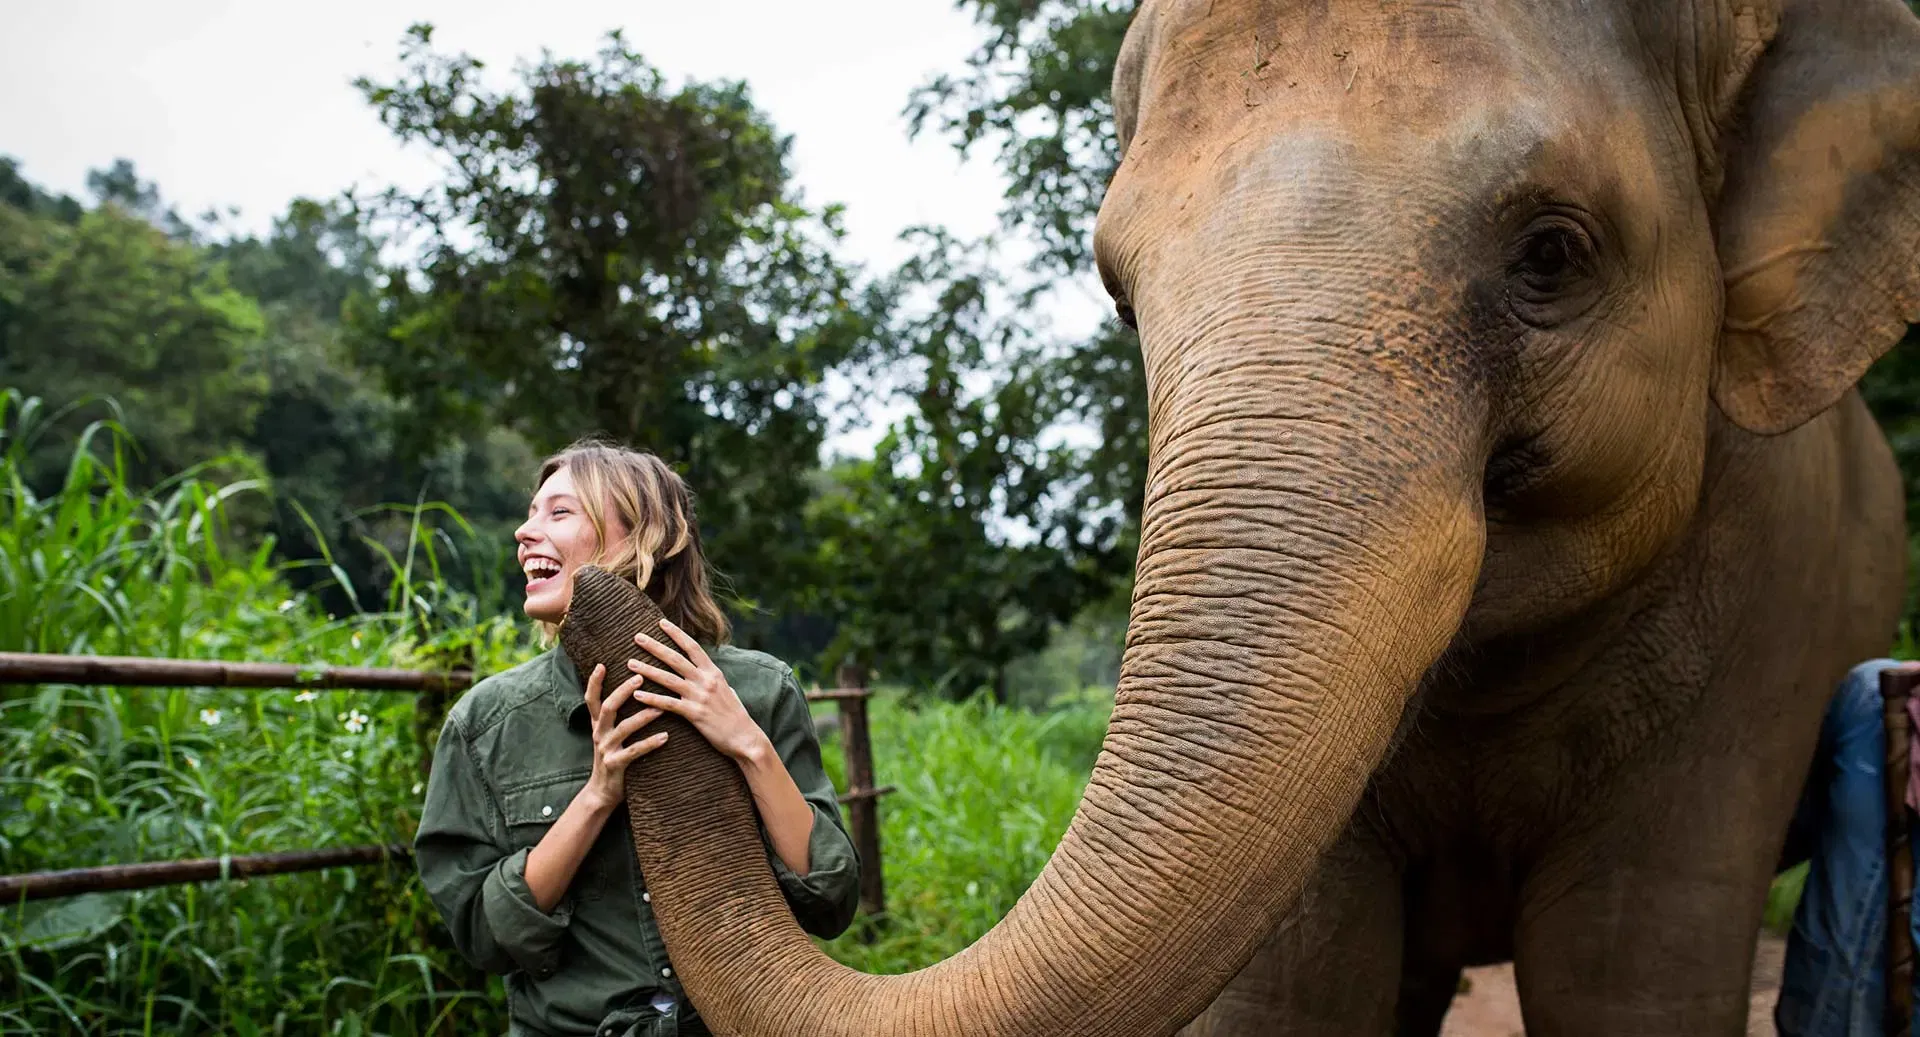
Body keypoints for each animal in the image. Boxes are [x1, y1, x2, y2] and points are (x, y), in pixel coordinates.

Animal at [610, 0, 1920, 1034]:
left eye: (1554, 252)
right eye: (1118, 294)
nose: (613, 595)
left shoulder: (1763, 629)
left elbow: (1627, 976)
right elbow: (1300, 989)